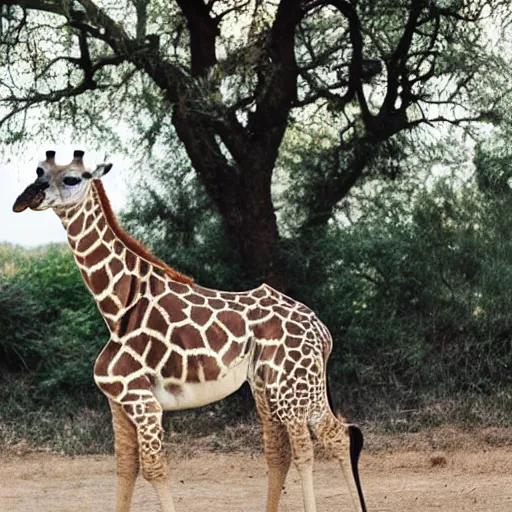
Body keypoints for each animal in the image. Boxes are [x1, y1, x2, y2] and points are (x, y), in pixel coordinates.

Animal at [11, 149, 364, 512]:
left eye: (71, 178)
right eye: (38, 171)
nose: (25, 199)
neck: (117, 308)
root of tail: (322, 330)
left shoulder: (144, 403)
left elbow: (154, 470)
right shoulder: (118, 403)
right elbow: (125, 469)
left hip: (292, 387)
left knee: (314, 446)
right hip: (271, 386)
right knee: (295, 447)